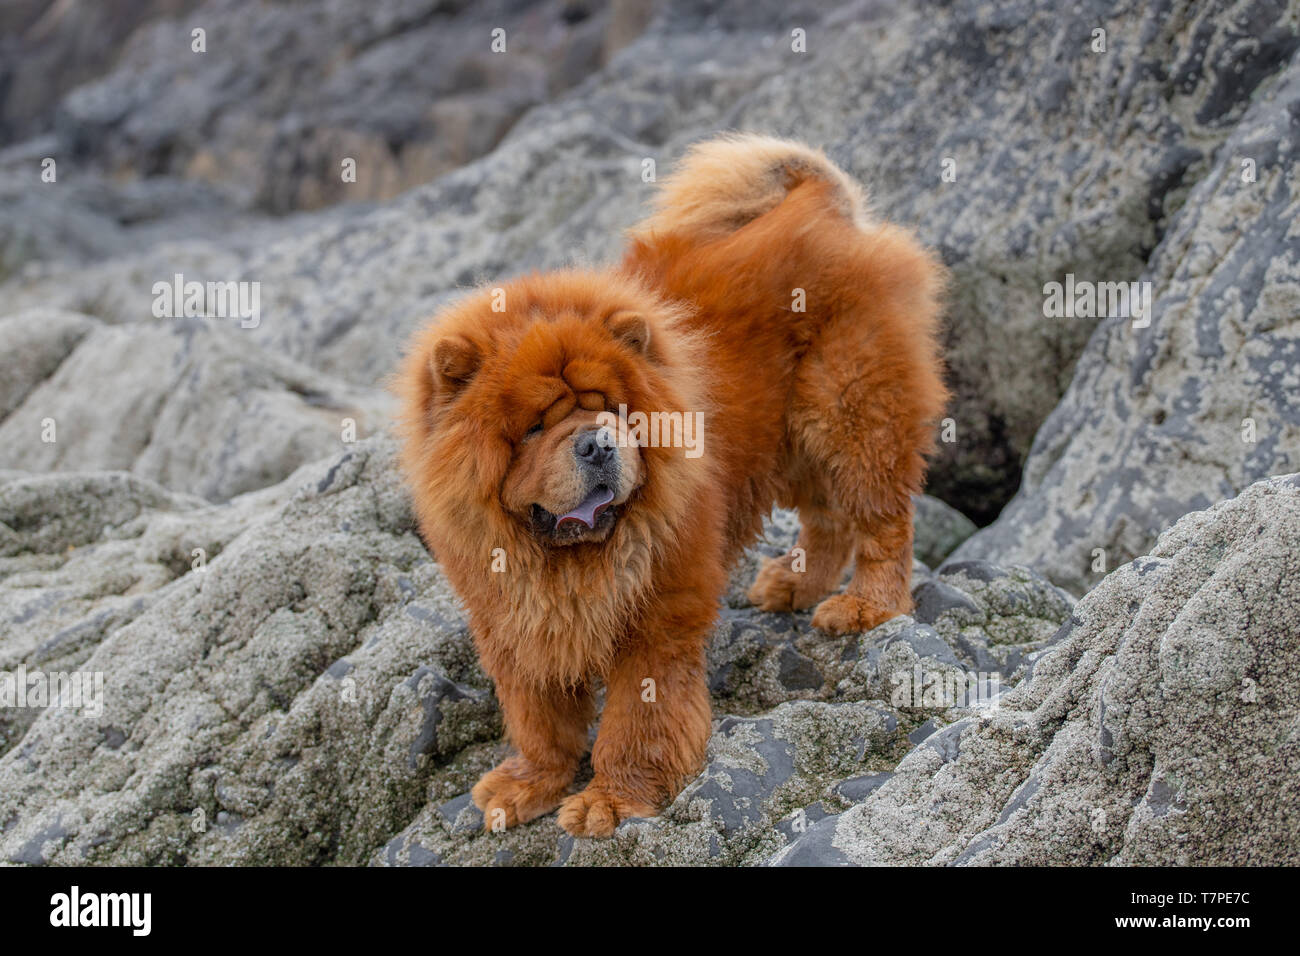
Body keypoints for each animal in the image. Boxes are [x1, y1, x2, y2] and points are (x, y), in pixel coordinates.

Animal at [392, 134, 946, 837]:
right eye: (533, 427)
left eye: (612, 407)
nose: (597, 442)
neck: (567, 562)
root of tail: (822, 204)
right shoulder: (510, 619)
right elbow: (537, 714)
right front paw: (529, 783)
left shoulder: (658, 613)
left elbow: (638, 718)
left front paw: (610, 799)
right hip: (795, 439)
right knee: (828, 519)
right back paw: (794, 585)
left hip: (850, 408)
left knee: (880, 517)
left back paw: (865, 607)